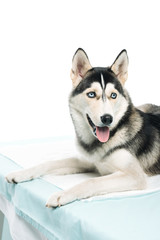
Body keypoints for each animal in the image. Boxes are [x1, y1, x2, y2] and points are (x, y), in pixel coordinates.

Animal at [5, 48, 160, 206]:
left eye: (113, 95)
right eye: (91, 94)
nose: (107, 118)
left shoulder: (134, 175)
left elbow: (92, 181)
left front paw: (62, 194)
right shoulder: (87, 161)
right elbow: (49, 163)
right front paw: (20, 173)